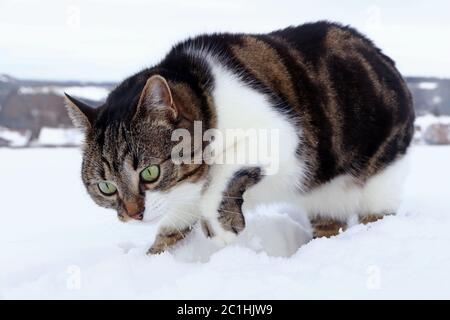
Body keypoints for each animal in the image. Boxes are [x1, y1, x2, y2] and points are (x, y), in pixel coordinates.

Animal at [64, 21, 414, 254]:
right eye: (106, 187)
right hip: (325, 197)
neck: (204, 93)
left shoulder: (284, 137)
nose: (133, 214)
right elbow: (173, 225)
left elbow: (219, 180)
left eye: (150, 172)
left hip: (380, 178)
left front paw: (222, 227)